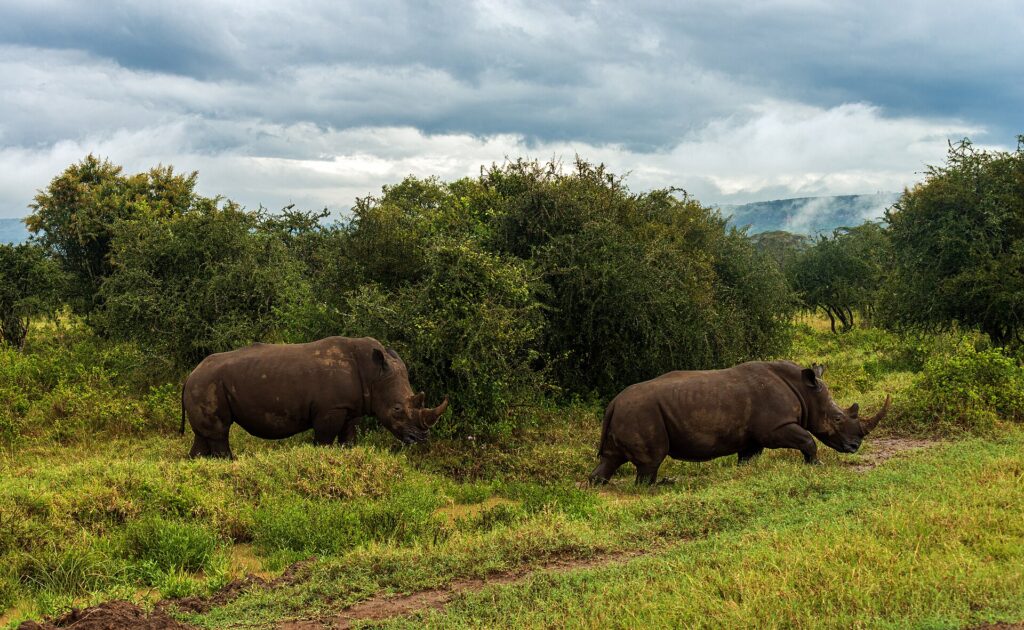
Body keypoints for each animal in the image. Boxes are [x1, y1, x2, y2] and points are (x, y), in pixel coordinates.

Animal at [181, 336, 448, 458]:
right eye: (396, 410)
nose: (422, 438)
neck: (373, 374)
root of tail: (190, 375)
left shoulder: (350, 408)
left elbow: (349, 438)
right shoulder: (331, 409)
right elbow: (324, 440)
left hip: (203, 384)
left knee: (204, 436)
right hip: (207, 383)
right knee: (219, 433)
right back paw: (230, 462)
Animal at [589, 361, 890, 484]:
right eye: (838, 418)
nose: (855, 446)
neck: (805, 391)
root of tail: (612, 404)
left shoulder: (753, 436)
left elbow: (747, 457)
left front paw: (744, 472)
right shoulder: (775, 428)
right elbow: (807, 439)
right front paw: (816, 465)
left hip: (630, 414)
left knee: (612, 459)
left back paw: (598, 484)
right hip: (641, 414)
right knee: (651, 462)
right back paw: (662, 484)